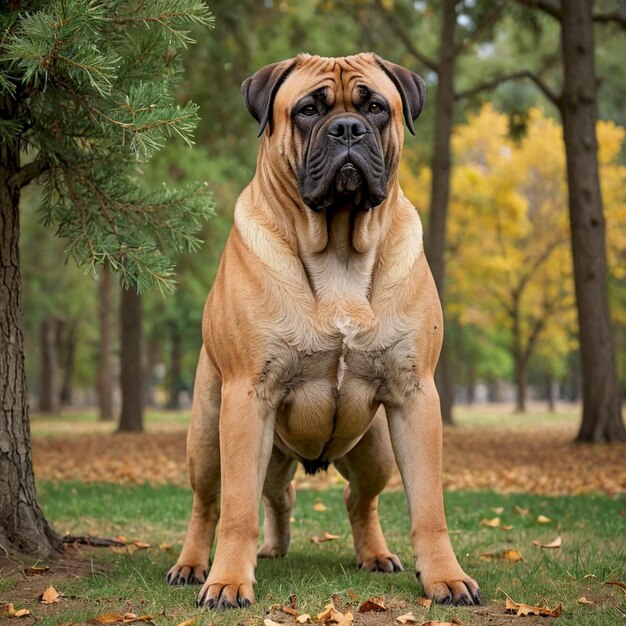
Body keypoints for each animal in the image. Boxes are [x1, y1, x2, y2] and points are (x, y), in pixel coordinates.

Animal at [166, 51, 478, 608]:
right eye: (309, 110)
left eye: (375, 107)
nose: (348, 129)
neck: (338, 250)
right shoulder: (247, 396)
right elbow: (237, 510)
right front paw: (228, 581)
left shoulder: (416, 394)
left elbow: (429, 508)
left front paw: (445, 577)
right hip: (207, 436)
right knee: (214, 504)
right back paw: (196, 564)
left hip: (376, 450)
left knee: (355, 499)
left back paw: (374, 554)